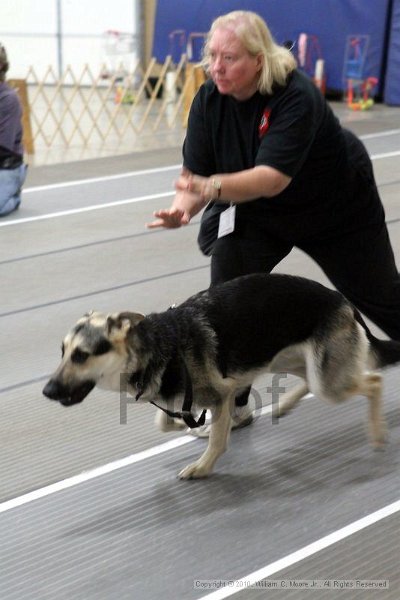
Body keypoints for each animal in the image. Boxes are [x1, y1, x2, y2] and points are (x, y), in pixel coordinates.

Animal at [43, 274, 400, 480]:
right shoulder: (188, 396)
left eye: (81, 355)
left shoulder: (223, 393)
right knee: (312, 382)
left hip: (327, 383)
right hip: (291, 361)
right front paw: (185, 426)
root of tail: (344, 301)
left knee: (373, 382)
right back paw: (284, 405)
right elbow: (166, 421)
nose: (47, 391)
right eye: (61, 352)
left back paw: (377, 431)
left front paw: (203, 466)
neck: (157, 346)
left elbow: (216, 438)